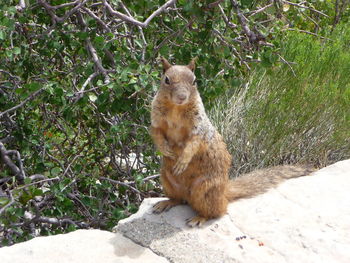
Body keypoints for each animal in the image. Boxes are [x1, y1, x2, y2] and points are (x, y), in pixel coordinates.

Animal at [150, 57, 314, 227]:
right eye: (166, 80)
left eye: (194, 81)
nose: (182, 97)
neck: (176, 109)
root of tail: (224, 191)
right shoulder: (156, 121)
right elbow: (156, 134)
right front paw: (165, 149)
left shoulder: (199, 127)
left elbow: (193, 143)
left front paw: (183, 161)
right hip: (166, 180)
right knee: (179, 199)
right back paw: (166, 203)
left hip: (206, 191)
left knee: (218, 211)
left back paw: (199, 218)